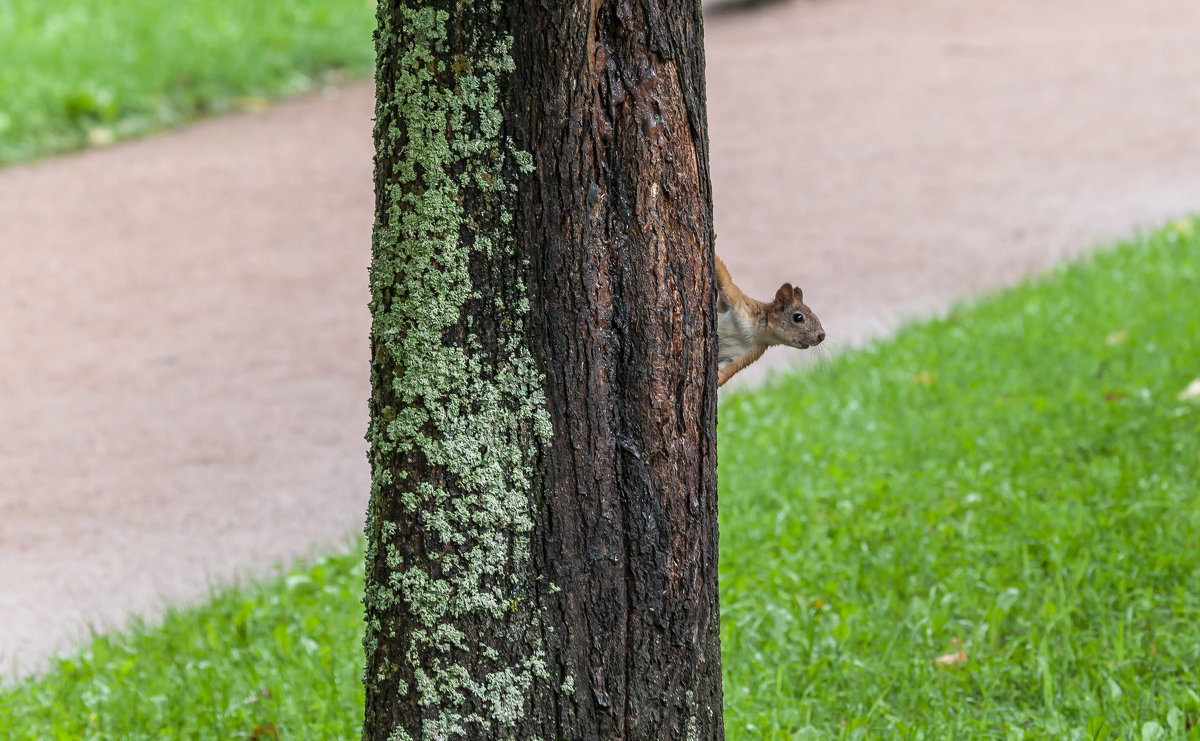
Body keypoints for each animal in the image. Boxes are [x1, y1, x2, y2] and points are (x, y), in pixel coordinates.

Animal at [715, 255, 820, 386]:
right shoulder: (741, 304)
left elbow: (725, 372)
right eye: (798, 317)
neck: (755, 331)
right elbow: (725, 279)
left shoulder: (745, 354)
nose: (822, 336)